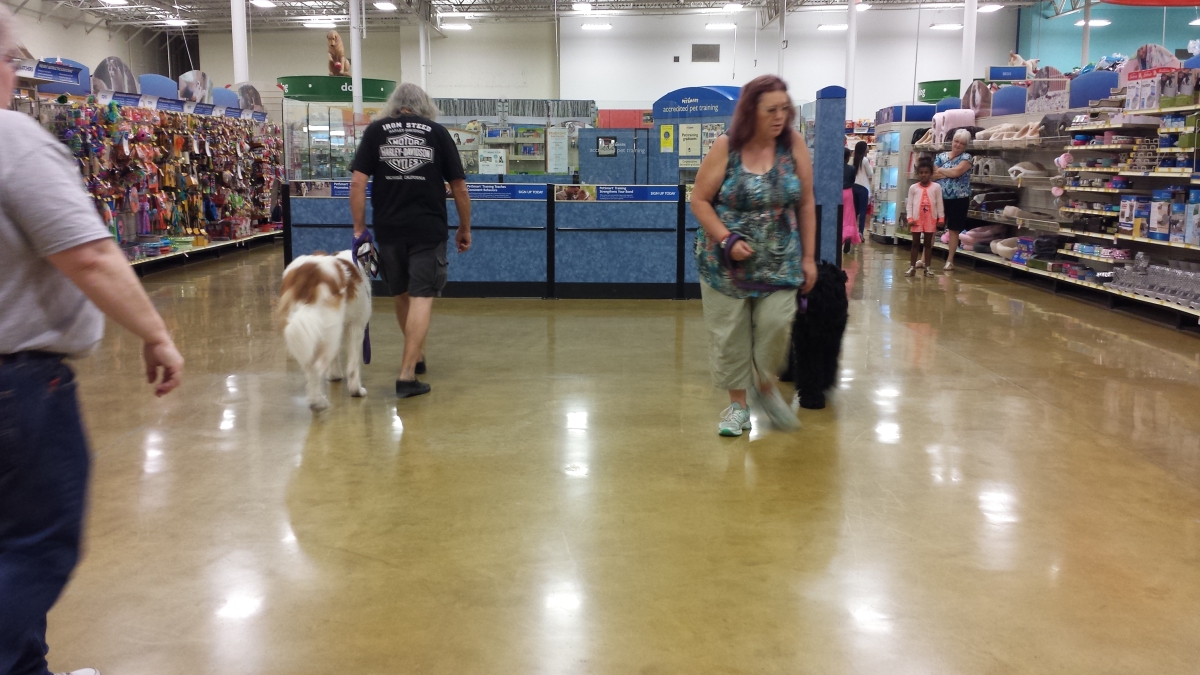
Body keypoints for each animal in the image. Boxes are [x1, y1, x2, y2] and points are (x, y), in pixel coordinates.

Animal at [278, 250, 371, 410]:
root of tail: (308, 271)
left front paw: (334, 375)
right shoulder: (356, 327)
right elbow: (353, 365)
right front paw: (356, 390)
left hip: (304, 333)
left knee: (309, 368)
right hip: (329, 331)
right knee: (316, 368)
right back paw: (317, 401)